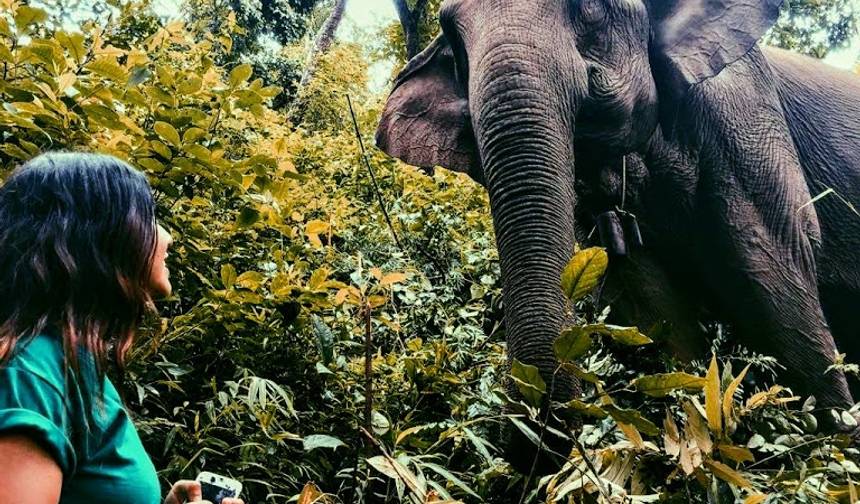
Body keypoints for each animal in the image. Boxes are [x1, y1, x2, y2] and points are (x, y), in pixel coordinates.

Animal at [375, 0, 860, 472]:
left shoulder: (743, 118)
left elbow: (772, 280)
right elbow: (657, 312)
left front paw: (831, 452)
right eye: (453, 38)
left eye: (589, 9)